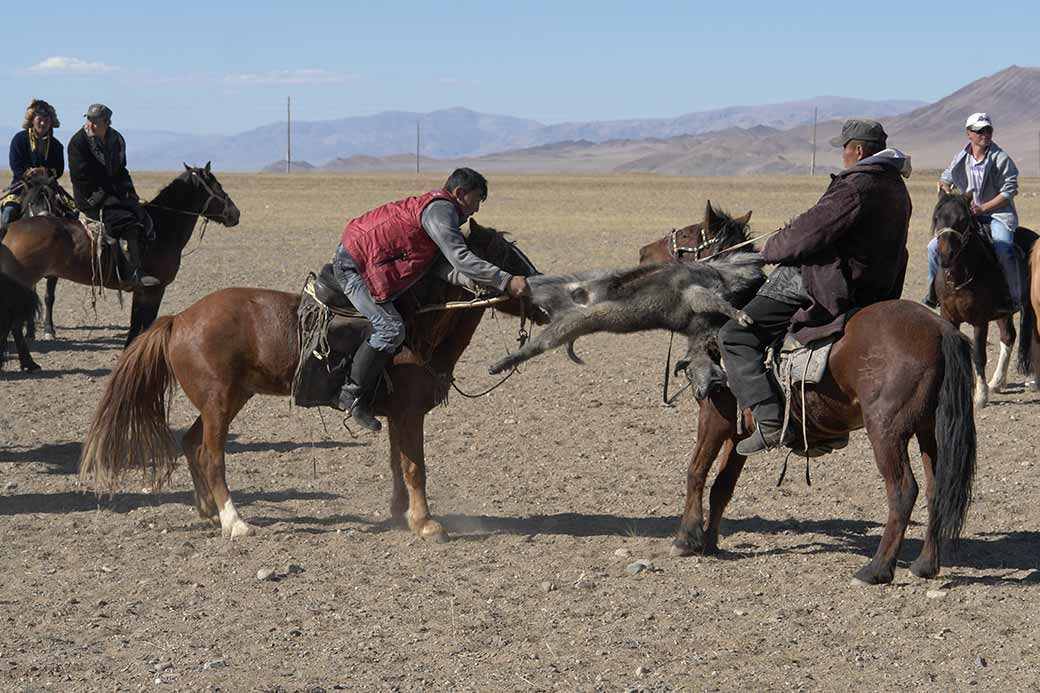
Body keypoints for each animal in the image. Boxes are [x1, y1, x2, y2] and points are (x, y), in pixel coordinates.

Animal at [1, 164, 239, 370]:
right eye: (218, 186)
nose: (235, 214)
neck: (162, 227)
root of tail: (11, 228)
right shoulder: (155, 290)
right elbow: (144, 324)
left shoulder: (142, 292)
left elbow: (136, 324)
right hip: (23, 285)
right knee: (14, 323)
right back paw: (28, 362)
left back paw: (27, 362)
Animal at [79, 219, 544, 541]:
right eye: (509, 258)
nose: (542, 295)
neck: (419, 321)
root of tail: (178, 319)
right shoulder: (411, 413)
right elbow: (415, 466)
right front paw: (427, 524)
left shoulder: (397, 415)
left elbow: (397, 463)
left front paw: (401, 515)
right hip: (219, 401)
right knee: (211, 455)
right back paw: (235, 522)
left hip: (228, 399)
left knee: (191, 444)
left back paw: (209, 512)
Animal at [628, 212, 977, 582]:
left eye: (687, 235)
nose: (643, 254)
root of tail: (941, 330)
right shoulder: (741, 431)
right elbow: (723, 484)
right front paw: (709, 543)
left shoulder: (715, 416)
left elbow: (695, 472)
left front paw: (686, 539)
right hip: (929, 430)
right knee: (936, 488)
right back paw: (925, 564)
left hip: (886, 431)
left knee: (903, 491)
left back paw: (876, 569)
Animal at [931, 187, 1035, 405]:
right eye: (937, 217)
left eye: (963, 219)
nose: (945, 255)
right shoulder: (949, 316)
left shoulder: (980, 320)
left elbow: (979, 354)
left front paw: (980, 396)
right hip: (1004, 313)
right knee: (1008, 337)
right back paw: (997, 382)